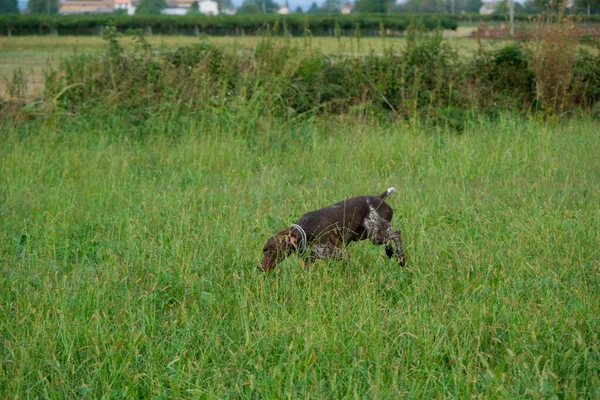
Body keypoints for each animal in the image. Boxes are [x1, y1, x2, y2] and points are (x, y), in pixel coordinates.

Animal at [260, 188, 406, 272]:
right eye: (264, 250)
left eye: (272, 251)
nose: (259, 267)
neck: (305, 229)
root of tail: (380, 197)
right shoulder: (310, 259)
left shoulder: (341, 254)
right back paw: (392, 253)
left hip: (376, 235)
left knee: (396, 234)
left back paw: (401, 259)